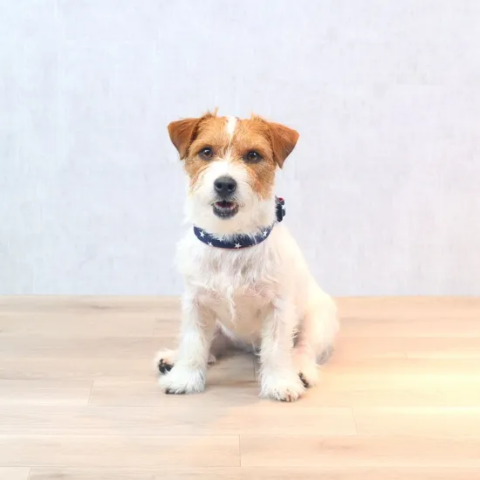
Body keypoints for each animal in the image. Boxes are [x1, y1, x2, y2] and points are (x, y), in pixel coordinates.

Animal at [156, 112, 338, 402]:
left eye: (253, 155)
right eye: (206, 151)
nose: (224, 184)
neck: (231, 243)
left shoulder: (277, 309)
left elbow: (276, 349)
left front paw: (279, 383)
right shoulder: (196, 304)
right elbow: (194, 343)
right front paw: (185, 378)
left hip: (317, 320)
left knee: (303, 348)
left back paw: (300, 371)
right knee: (211, 342)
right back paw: (173, 359)